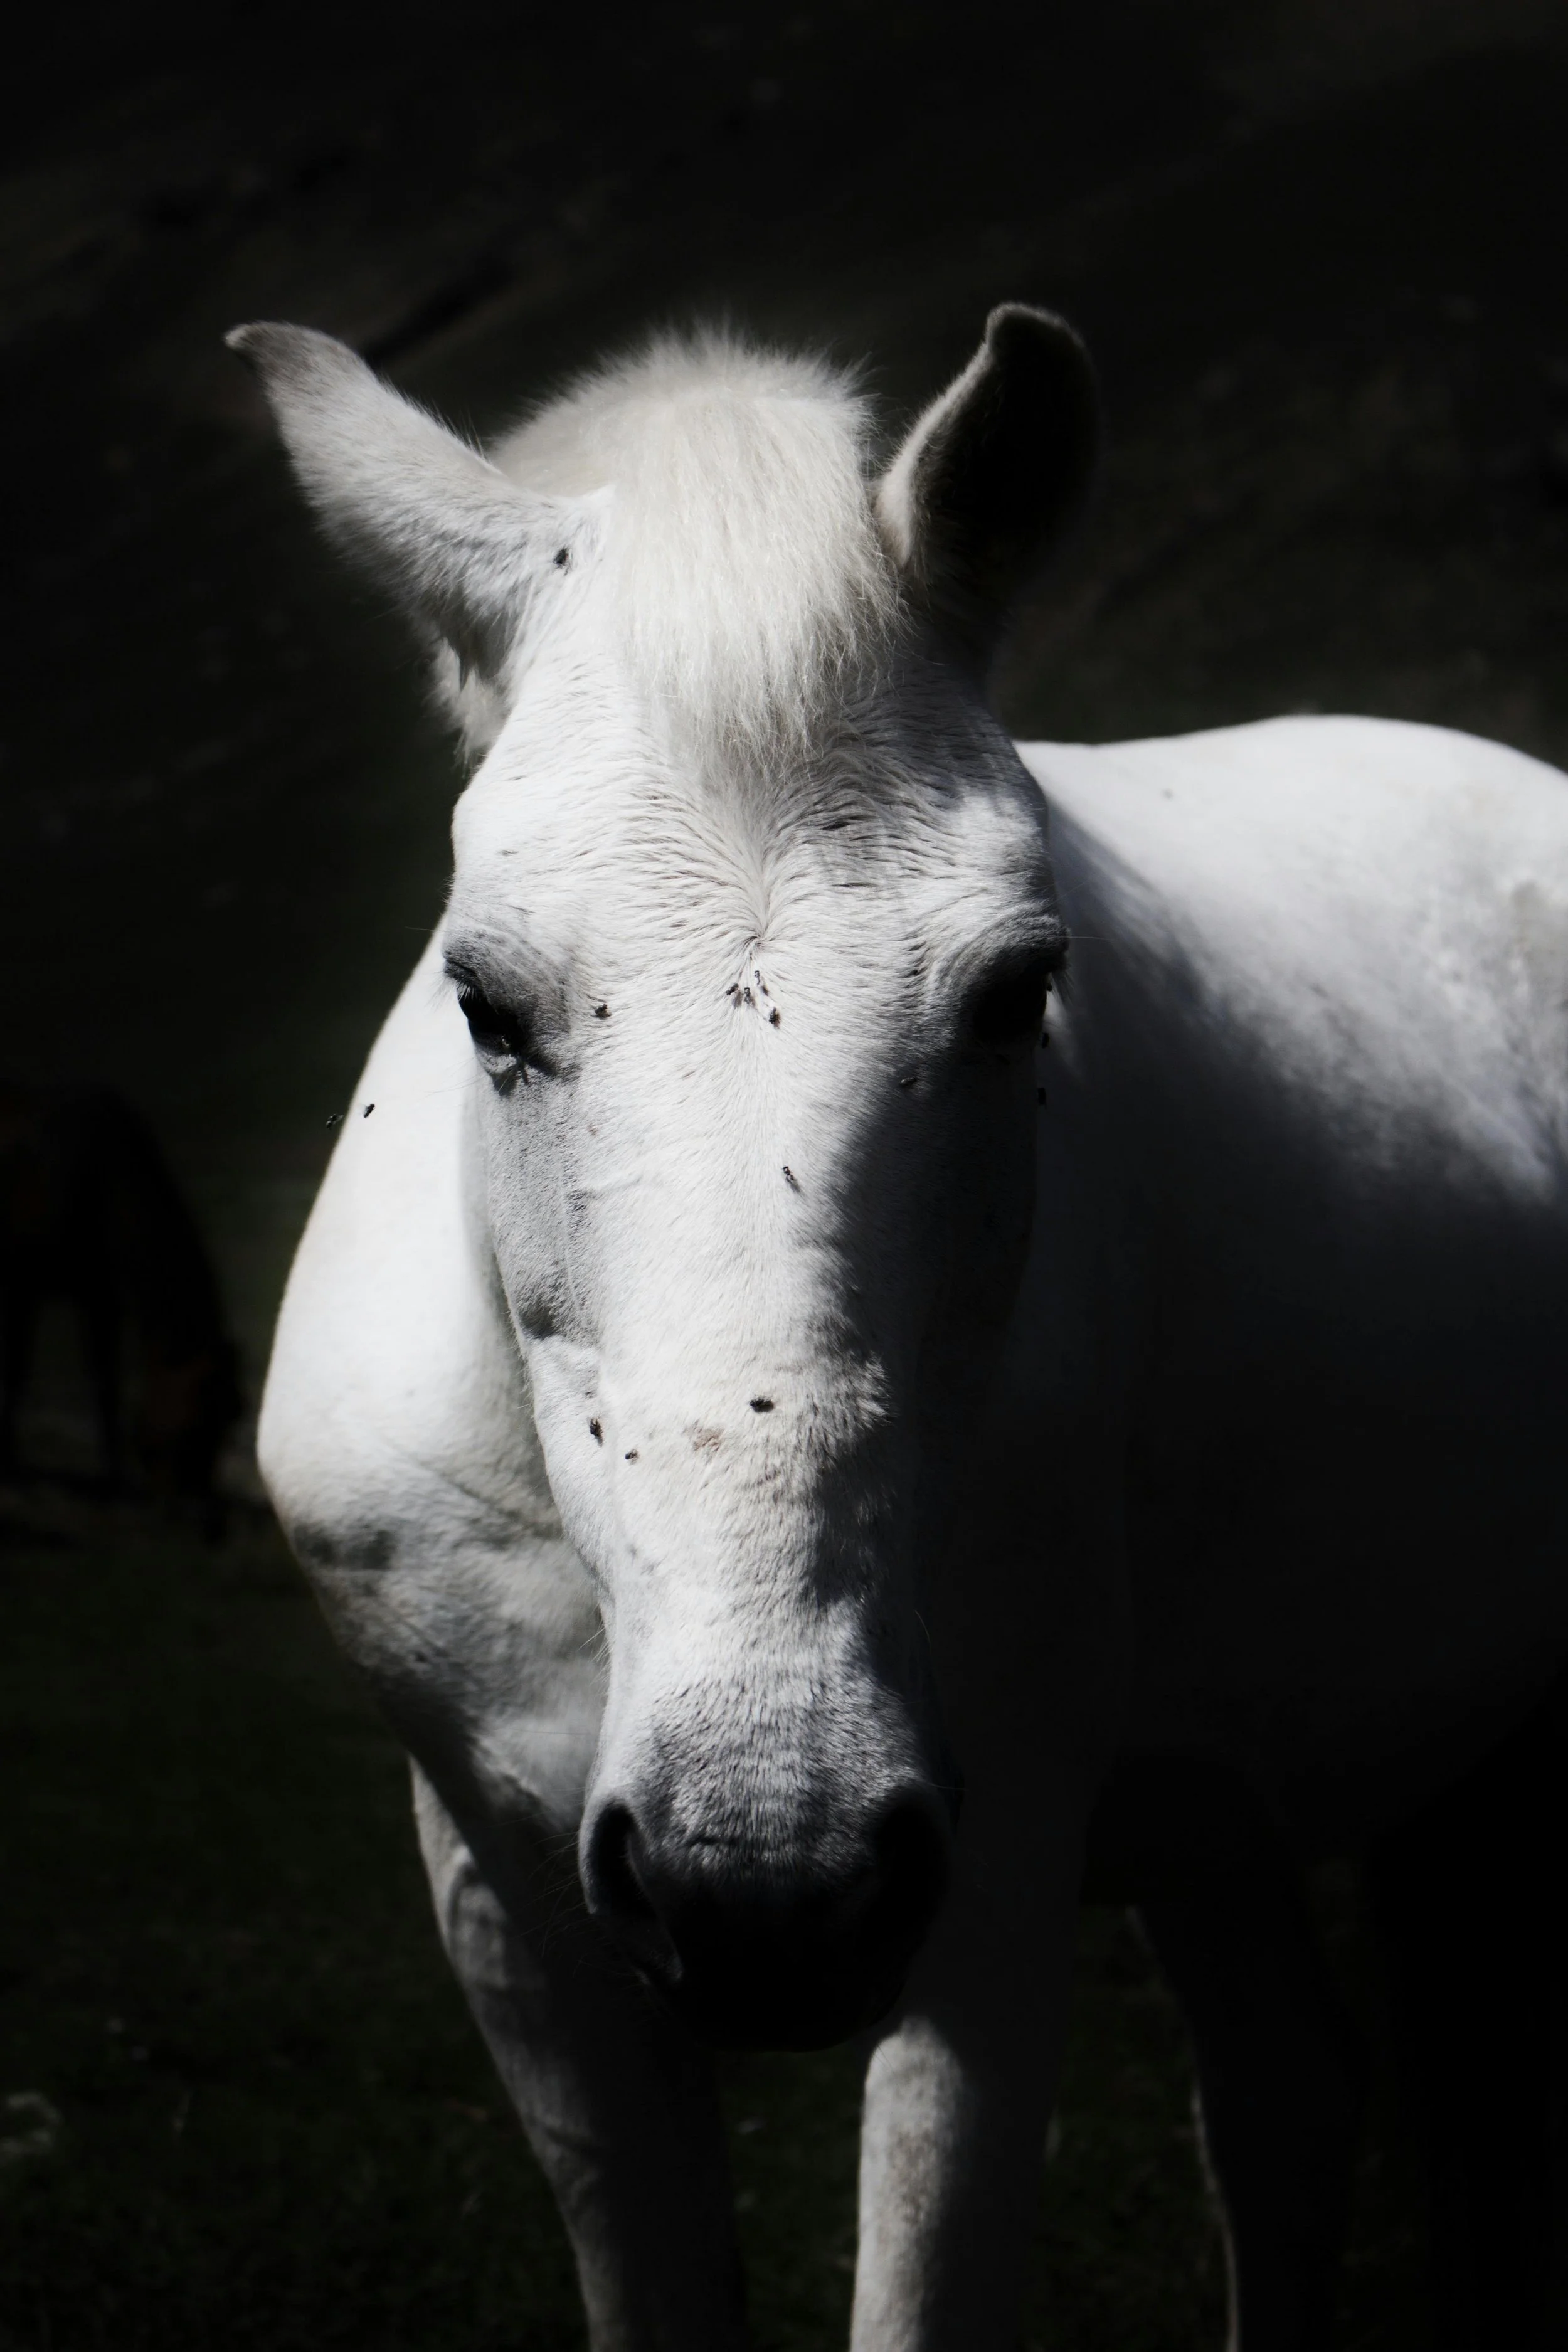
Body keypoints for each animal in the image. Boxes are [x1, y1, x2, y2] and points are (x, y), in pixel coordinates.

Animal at [0, 1080, 242, 1523]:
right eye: (197, 1419)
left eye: (235, 1412)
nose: (204, 1511)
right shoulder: (23, 1284)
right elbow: (17, 1374)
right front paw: (11, 1470)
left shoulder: (101, 1297)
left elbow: (106, 1386)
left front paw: (115, 1481)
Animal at [238, 306, 1568, 2350]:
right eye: (486, 999)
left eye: (1019, 989)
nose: (760, 1870)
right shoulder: (512, 1912)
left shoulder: (987, 1889)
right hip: (1225, 1810)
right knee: (1290, 2100)